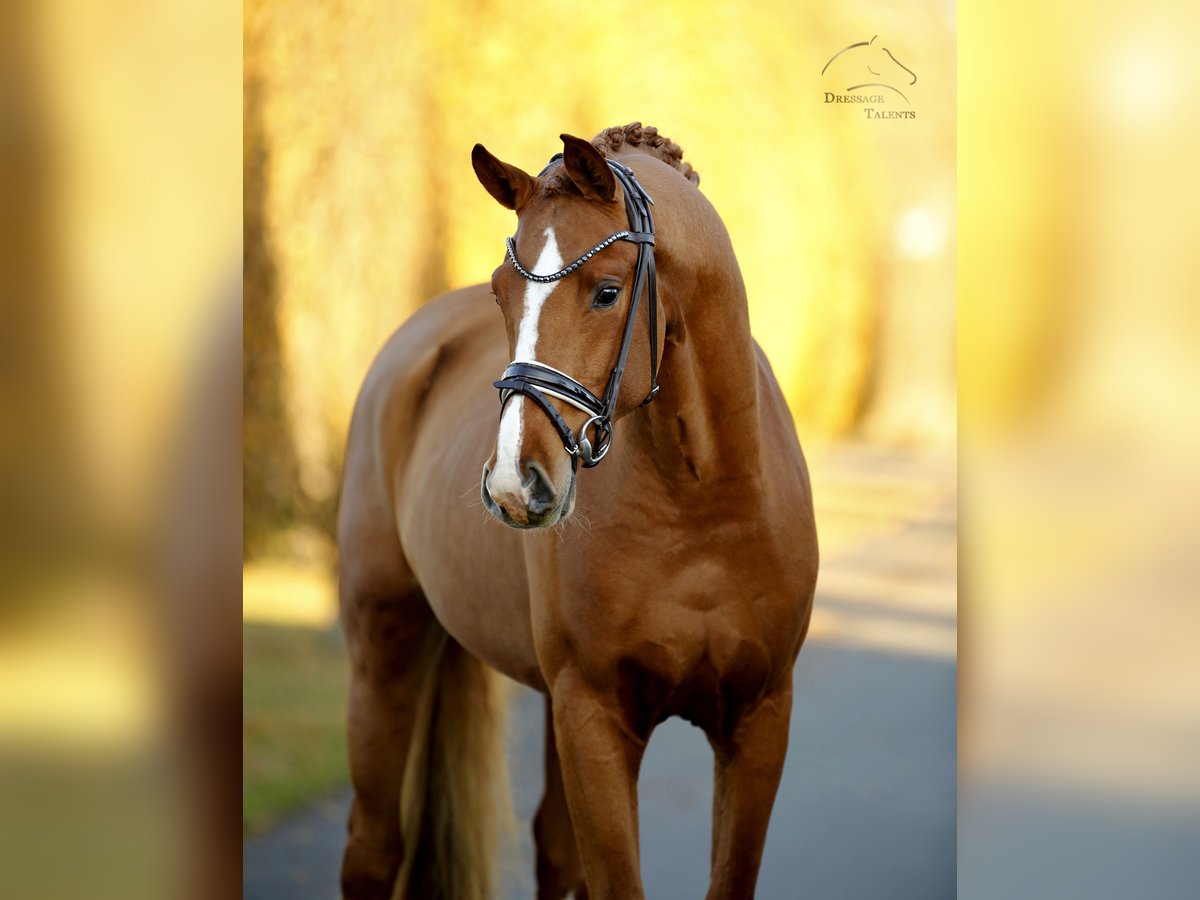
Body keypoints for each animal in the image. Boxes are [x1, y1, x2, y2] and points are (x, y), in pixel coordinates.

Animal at [337, 122, 818, 900]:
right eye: (502, 292)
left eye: (607, 292)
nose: (515, 483)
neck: (700, 508)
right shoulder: (594, 717)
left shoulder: (759, 720)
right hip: (385, 647)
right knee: (374, 850)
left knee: (554, 851)